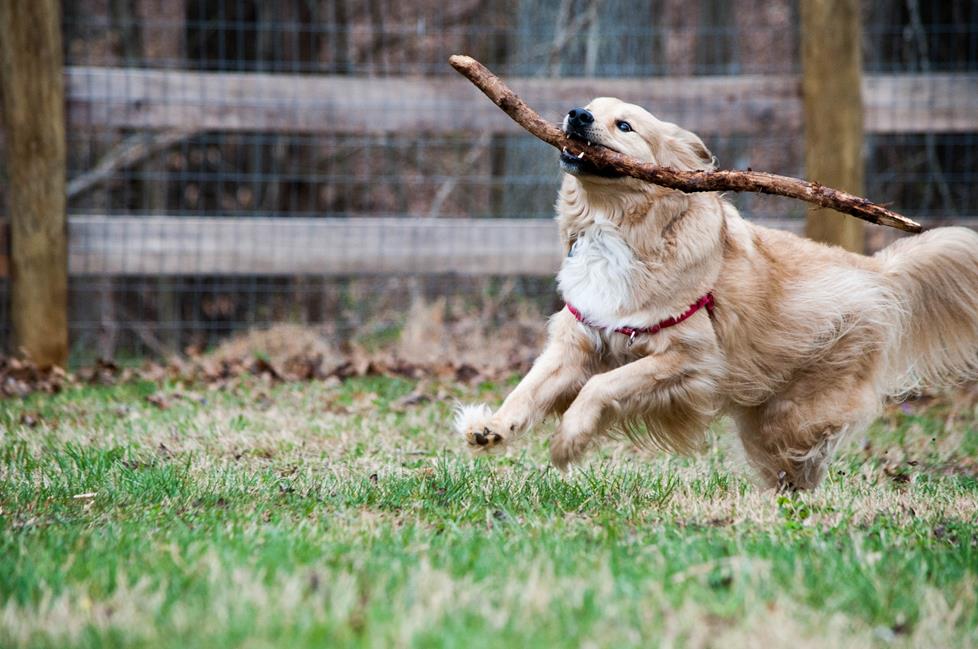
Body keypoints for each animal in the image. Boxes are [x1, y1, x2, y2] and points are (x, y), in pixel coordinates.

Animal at [454, 98, 976, 488]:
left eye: (624, 125)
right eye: (591, 107)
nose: (576, 114)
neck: (619, 231)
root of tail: (878, 270)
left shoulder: (688, 358)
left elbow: (601, 387)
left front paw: (569, 440)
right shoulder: (578, 341)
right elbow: (528, 389)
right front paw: (491, 427)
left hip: (791, 413)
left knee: (799, 462)